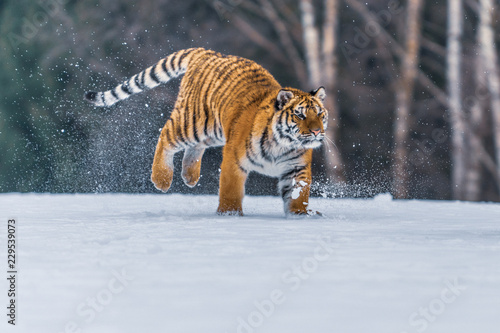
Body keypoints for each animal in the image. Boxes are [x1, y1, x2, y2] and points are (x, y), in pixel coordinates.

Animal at [85, 48, 328, 217]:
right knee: (166, 135)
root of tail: (208, 52)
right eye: (300, 115)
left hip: (213, 131)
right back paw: (161, 179)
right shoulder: (234, 159)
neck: (283, 143)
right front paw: (229, 215)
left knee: (195, 147)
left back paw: (190, 177)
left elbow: (298, 195)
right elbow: (231, 189)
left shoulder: (296, 168)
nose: (317, 131)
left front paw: (299, 216)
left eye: (320, 114)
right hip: (192, 123)